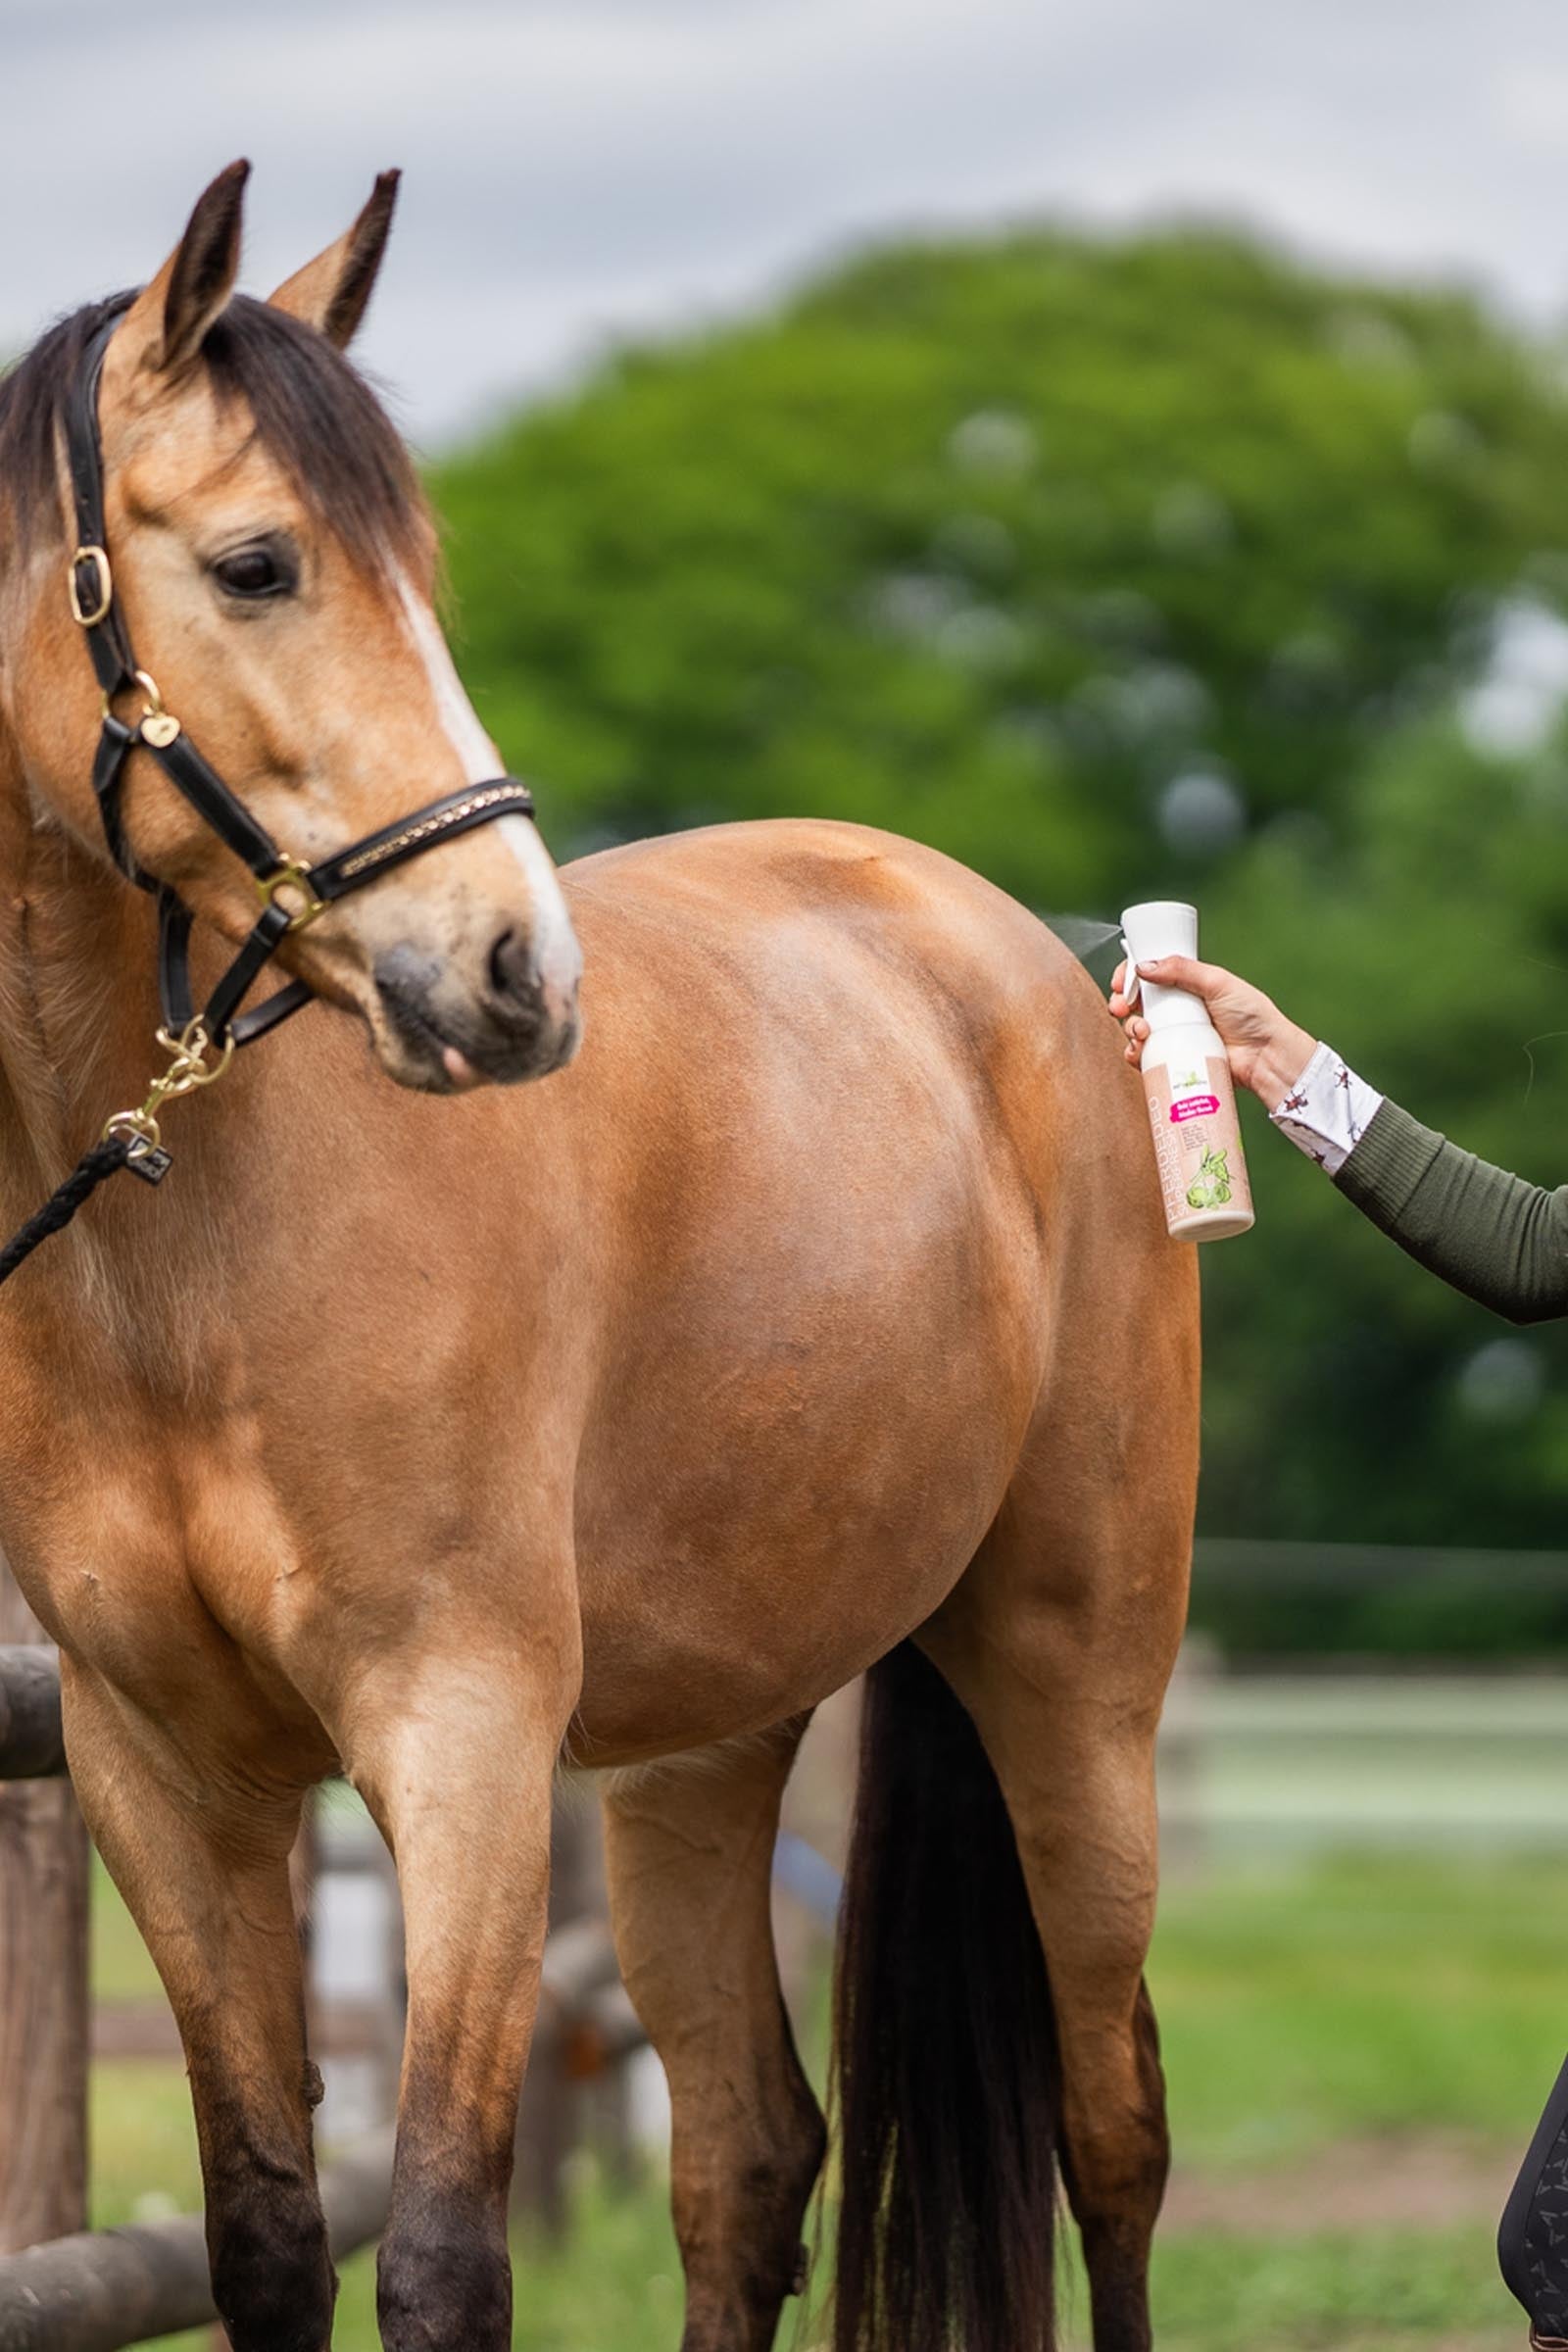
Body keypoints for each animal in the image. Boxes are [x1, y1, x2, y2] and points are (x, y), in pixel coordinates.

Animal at [0, 163, 1200, 2352]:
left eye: (420, 566)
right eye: (258, 562)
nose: (510, 978)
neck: (186, 1255)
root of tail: (1035, 970)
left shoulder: (459, 1734)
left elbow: (440, 2252)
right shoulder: (162, 1776)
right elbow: (270, 2235)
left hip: (1075, 1679)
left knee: (1113, 2133)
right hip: (700, 1748)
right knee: (746, 2157)